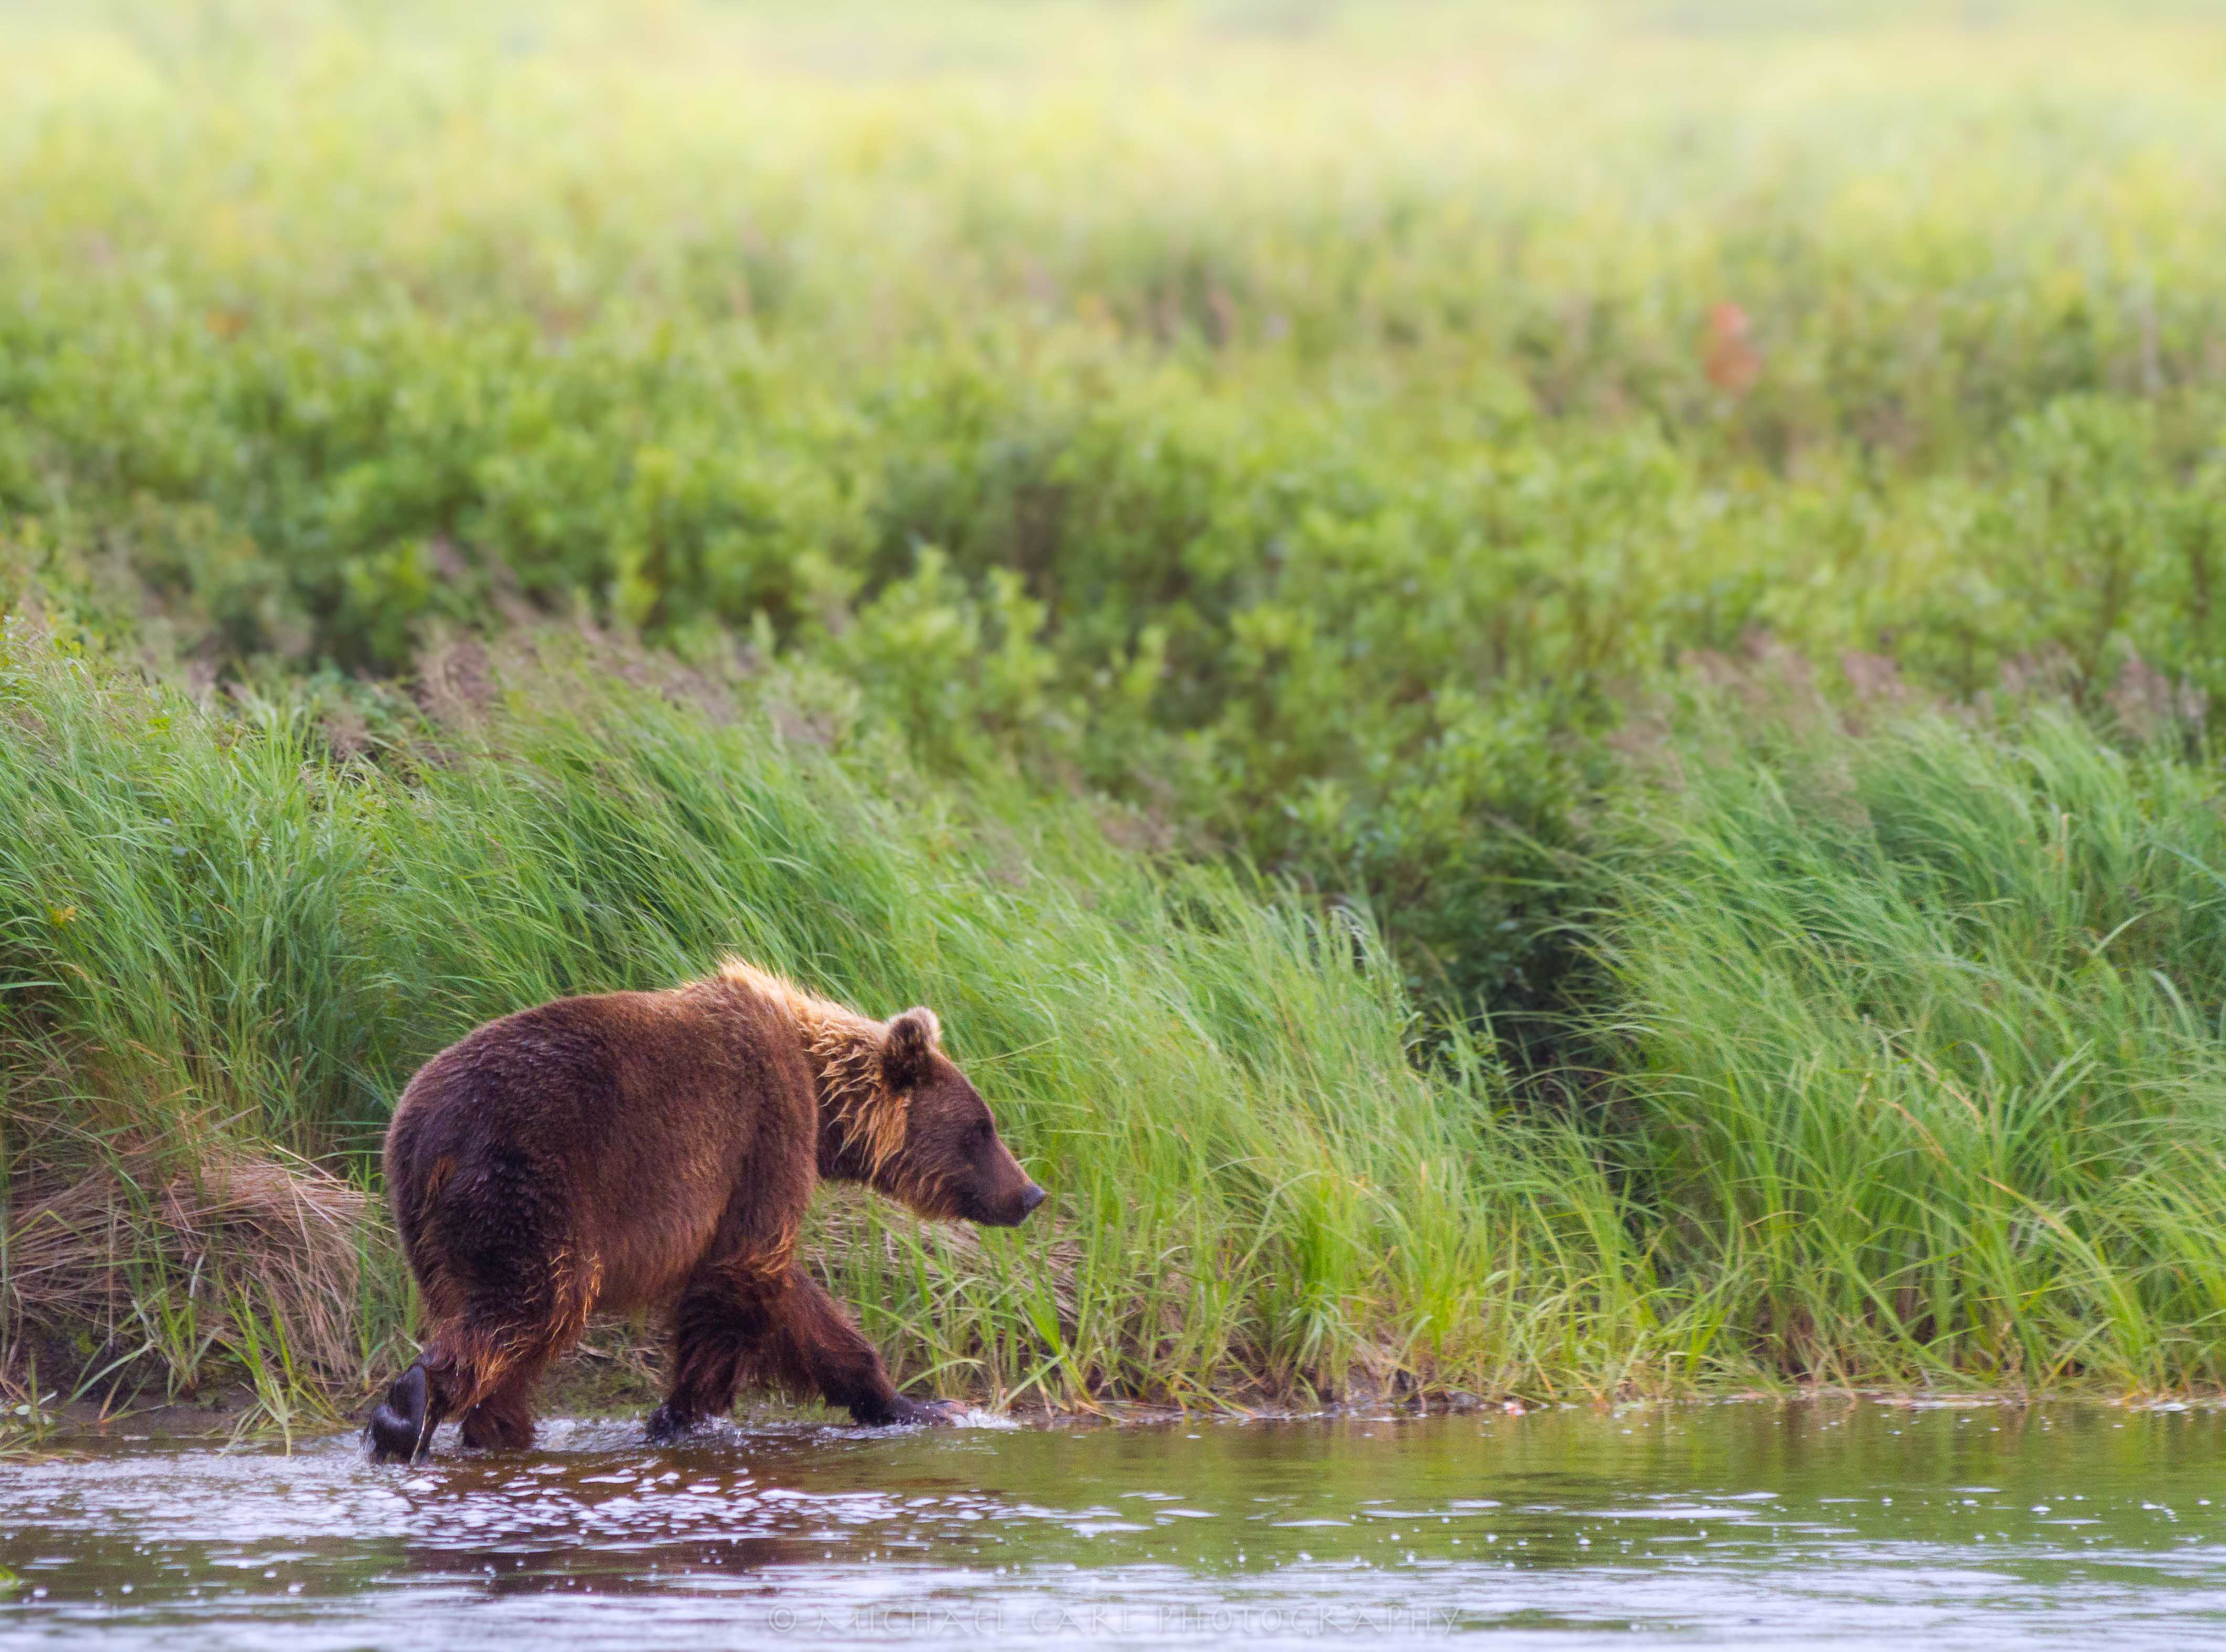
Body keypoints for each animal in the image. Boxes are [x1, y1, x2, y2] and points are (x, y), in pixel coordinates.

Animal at [364, 960, 1044, 1461]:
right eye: (982, 1129)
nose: (1029, 1193)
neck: (822, 1104)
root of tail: (426, 1131)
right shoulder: (764, 1134)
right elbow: (746, 1271)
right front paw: (685, 1414)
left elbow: (796, 1304)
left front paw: (917, 1404)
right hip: (533, 1177)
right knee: (535, 1300)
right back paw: (408, 1408)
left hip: (431, 1226)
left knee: (487, 1313)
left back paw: (499, 1429)